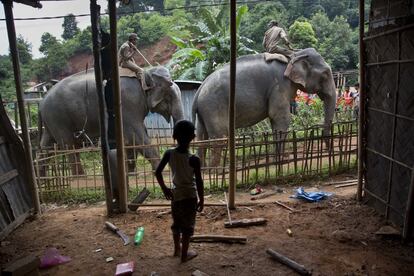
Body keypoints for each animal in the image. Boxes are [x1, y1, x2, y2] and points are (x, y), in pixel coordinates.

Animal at [39, 66, 184, 175]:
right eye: (169, 96)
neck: (144, 73)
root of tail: (42, 101)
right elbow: (137, 135)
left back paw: (43, 180)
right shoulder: (127, 102)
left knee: (46, 145)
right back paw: (79, 177)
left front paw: (131, 174)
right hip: (57, 117)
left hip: (51, 120)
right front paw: (161, 171)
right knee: (69, 145)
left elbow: (130, 138)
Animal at [192, 48, 338, 164]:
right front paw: (281, 160)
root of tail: (199, 89)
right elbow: (281, 117)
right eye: (325, 74)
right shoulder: (279, 86)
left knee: (201, 137)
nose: (329, 151)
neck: (293, 55)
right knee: (220, 138)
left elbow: (275, 121)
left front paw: (279, 159)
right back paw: (216, 171)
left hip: (204, 111)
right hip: (213, 106)